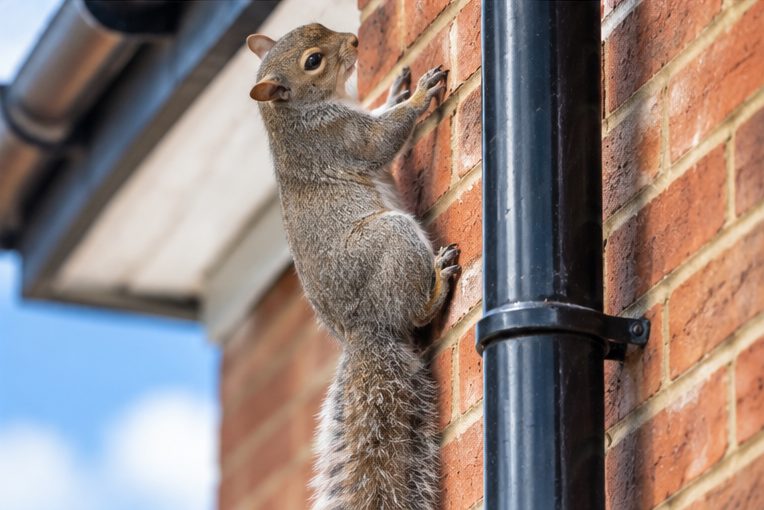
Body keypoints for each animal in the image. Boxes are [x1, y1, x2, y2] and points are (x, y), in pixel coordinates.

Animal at [246, 23, 459, 510]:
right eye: (313, 60)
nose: (355, 41)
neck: (294, 115)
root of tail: (365, 329)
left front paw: (398, 88)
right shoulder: (339, 136)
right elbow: (380, 141)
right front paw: (420, 96)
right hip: (395, 240)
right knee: (417, 310)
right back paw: (438, 285)